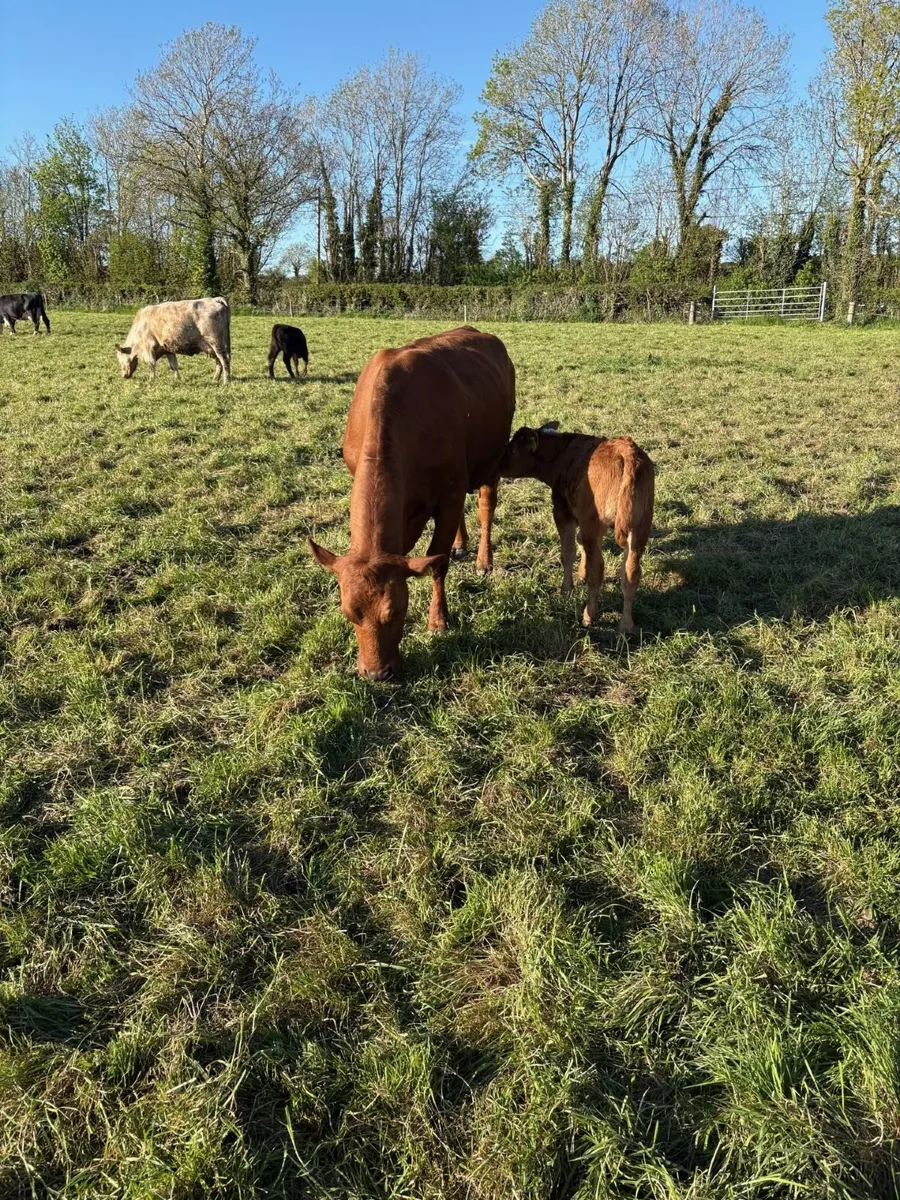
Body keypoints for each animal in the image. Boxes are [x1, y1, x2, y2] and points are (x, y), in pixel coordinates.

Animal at [309, 326, 516, 680]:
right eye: (349, 613)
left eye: (396, 611)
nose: (376, 674)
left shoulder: (449, 493)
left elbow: (437, 562)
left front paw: (438, 620)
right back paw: (461, 544)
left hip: (495, 455)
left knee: (486, 506)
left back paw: (483, 560)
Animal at [499, 423, 655, 634]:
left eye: (513, 450)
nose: (497, 466)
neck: (561, 453)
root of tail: (628, 453)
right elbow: (581, 544)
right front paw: (580, 574)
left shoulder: (563, 512)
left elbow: (568, 552)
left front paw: (566, 589)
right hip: (639, 527)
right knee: (630, 573)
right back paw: (626, 624)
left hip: (594, 521)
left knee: (597, 570)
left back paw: (589, 615)